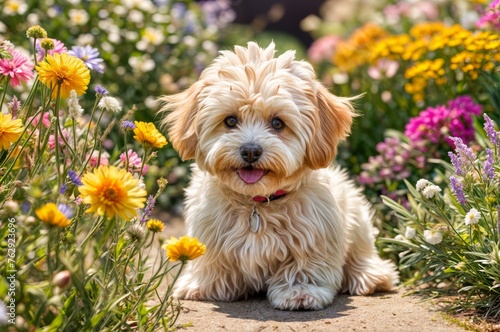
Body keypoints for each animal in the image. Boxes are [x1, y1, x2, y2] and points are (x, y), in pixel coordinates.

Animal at [160, 42, 398, 310]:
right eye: (230, 120)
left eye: (277, 123)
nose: (250, 151)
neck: (257, 204)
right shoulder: (210, 231)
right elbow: (214, 262)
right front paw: (204, 286)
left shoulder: (313, 236)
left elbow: (303, 267)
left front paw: (300, 292)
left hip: (356, 216)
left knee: (362, 252)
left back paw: (370, 276)